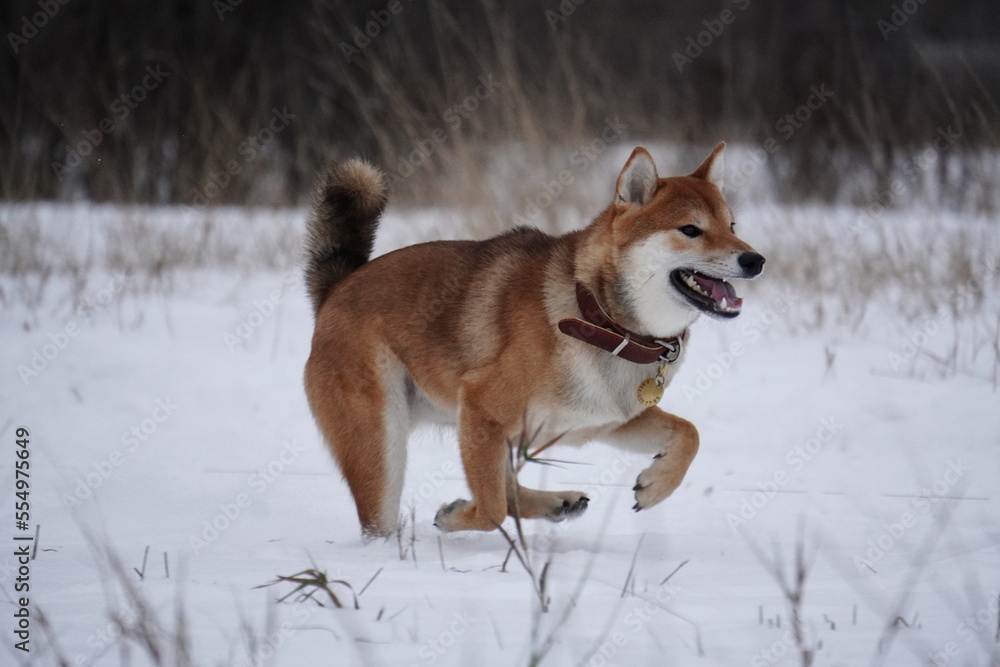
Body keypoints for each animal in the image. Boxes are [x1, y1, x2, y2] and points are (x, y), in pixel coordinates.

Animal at [304, 146, 764, 536]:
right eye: (690, 230)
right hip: (384, 448)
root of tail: (336, 289)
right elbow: (491, 511)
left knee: (506, 491)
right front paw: (455, 518)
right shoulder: (482, 407)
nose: (755, 260)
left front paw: (657, 484)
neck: (600, 318)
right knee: (386, 523)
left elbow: (689, 433)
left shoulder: (605, 420)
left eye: (732, 226)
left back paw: (558, 502)